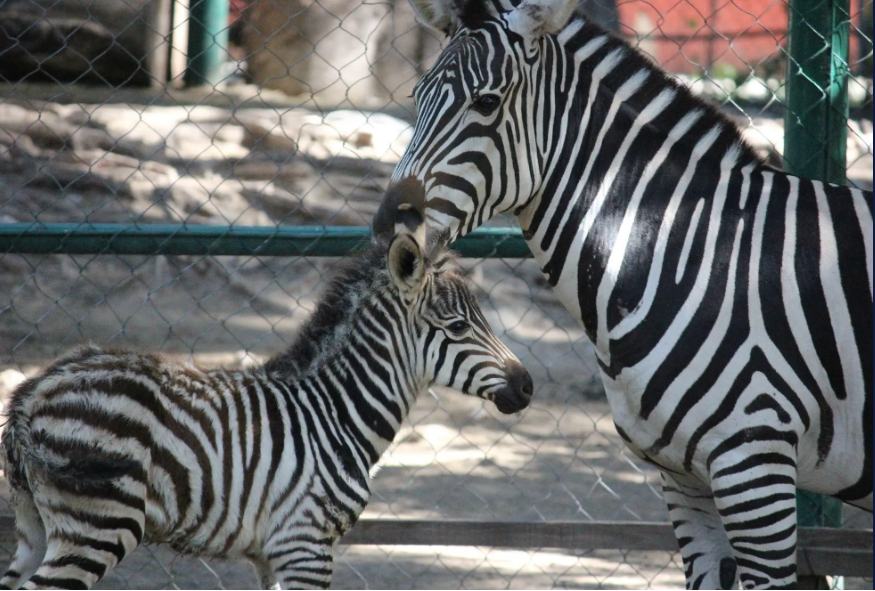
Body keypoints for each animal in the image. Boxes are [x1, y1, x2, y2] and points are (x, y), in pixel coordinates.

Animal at [0, 180, 534, 590]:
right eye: (458, 327)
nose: (527, 386)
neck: (337, 412)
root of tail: (31, 394)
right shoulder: (306, 545)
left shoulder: (271, 553)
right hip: (98, 526)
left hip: (35, 526)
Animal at [386, 0, 873, 588]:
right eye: (417, 97)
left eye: (486, 103)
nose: (387, 229)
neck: (689, 253)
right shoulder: (685, 479)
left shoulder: (756, 465)